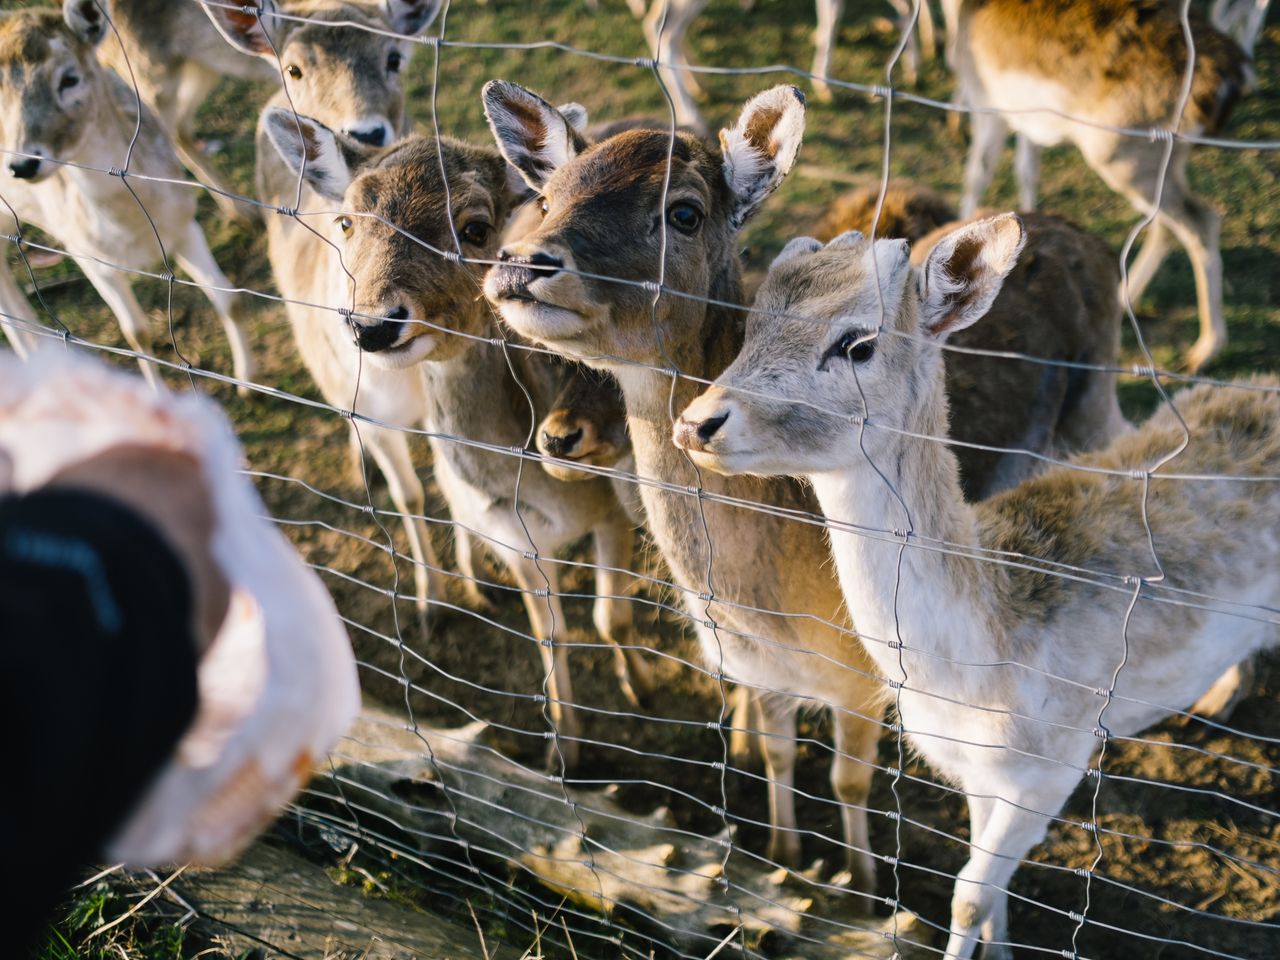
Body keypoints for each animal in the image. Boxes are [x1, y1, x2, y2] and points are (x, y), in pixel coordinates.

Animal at [0, 0, 253, 391]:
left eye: (69, 78)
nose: (22, 164)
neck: (132, 226)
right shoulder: (85, 253)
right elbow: (136, 334)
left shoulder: (184, 221)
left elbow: (230, 301)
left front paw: (246, 383)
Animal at [203, 0, 450, 616]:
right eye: (295, 68)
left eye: (394, 56)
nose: (362, 132)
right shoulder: (370, 407)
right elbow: (411, 494)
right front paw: (430, 601)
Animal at [262, 110, 660, 773]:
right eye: (346, 221)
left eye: (474, 226)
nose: (373, 325)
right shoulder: (519, 543)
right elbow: (550, 634)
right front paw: (565, 748)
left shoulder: (612, 510)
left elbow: (612, 616)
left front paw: (639, 690)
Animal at [675, 213, 1274, 957]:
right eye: (752, 322)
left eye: (858, 343)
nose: (697, 421)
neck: (974, 668)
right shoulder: (976, 769)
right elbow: (990, 889)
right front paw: (1004, 948)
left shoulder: (1054, 764)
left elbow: (967, 895)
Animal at [957, 0, 1254, 371]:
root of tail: (1235, 74)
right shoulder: (1023, 115)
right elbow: (1026, 168)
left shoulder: (985, 100)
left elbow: (978, 172)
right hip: (1165, 159)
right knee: (1171, 224)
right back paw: (1126, 303)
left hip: (1122, 156)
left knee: (1202, 220)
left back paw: (1204, 351)